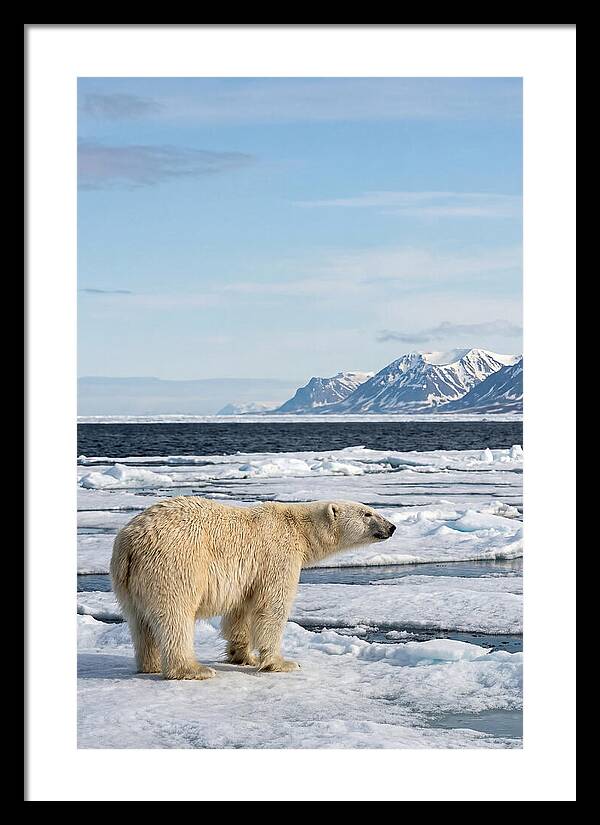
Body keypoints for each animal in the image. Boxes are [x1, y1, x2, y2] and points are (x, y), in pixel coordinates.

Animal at [110, 497, 396, 680]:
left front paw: (243, 656)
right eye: (368, 513)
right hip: (174, 564)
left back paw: (149, 664)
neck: (299, 529)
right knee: (175, 616)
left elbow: (241, 611)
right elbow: (272, 607)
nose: (392, 527)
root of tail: (130, 543)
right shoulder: (277, 555)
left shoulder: (249, 575)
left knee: (139, 622)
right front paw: (283, 662)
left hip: (126, 581)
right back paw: (193, 669)